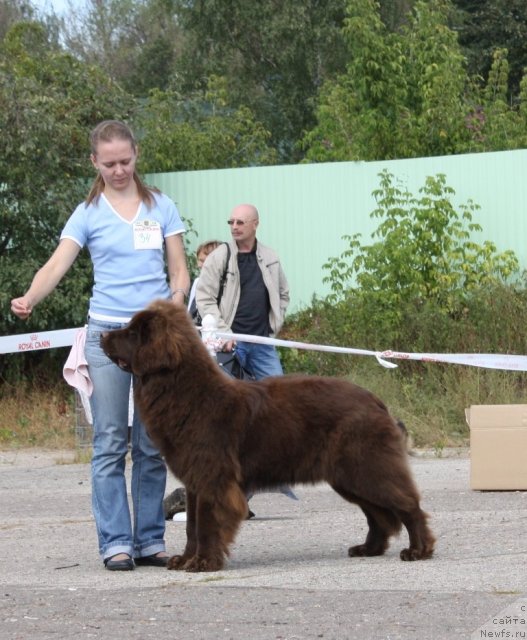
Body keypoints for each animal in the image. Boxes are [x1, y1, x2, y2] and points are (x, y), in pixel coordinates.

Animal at [101, 298, 436, 572]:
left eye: (133, 333)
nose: (102, 336)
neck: (185, 391)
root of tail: (377, 402)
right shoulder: (195, 481)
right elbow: (192, 527)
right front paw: (185, 560)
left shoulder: (213, 479)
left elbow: (207, 523)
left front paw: (204, 562)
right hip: (349, 477)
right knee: (378, 514)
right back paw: (369, 549)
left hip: (367, 468)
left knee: (407, 505)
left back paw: (419, 550)